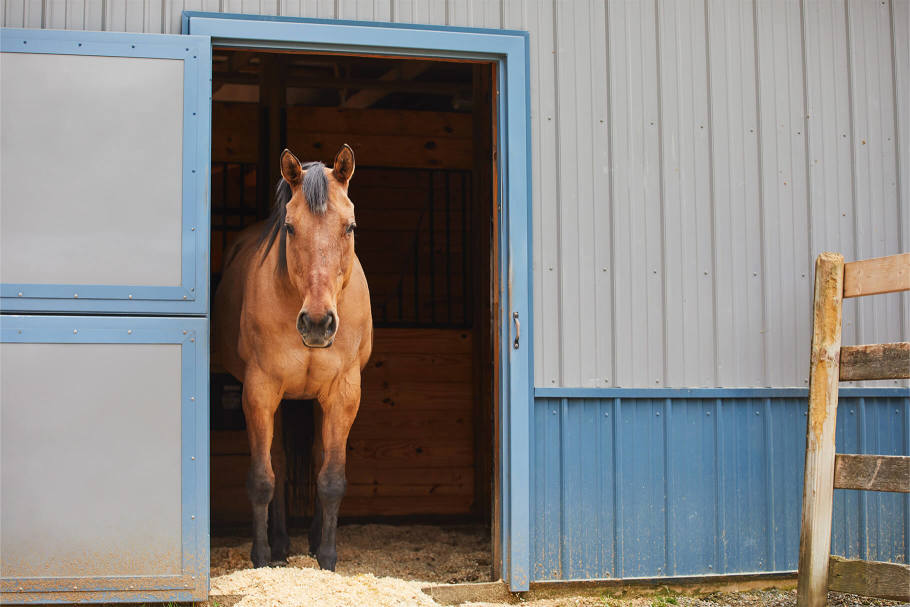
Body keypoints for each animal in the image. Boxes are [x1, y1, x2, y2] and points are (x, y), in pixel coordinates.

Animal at [212, 145, 372, 572]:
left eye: (350, 227)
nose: (317, 323)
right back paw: (282, 544)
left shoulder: (343, 393)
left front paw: (328, 558)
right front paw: (262, 556)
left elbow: (331, 478)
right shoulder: (260, 391)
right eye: (290, 227)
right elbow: (263, 478)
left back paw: (312, 541)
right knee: (279, 462)